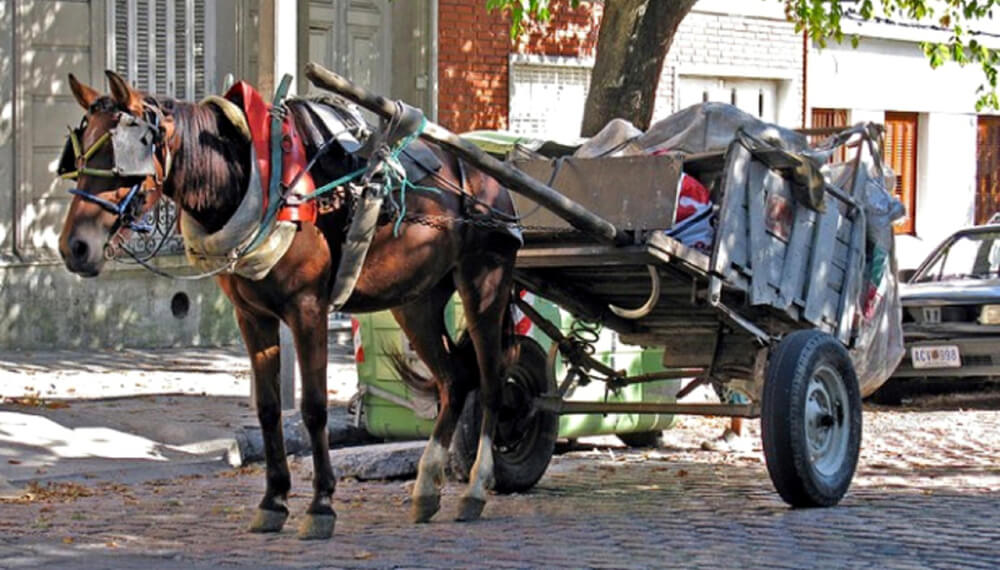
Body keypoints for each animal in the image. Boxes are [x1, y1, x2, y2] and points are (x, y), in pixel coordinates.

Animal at [57, 70, 522, 539]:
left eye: (121, 156)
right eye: (78, 155)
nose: (75, 247)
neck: (254, 181)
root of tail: (487, 177)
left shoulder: (308, 309)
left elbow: (314, 408)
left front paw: (321, 505)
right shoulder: (252, 316)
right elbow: (266, 410)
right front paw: (273, 500)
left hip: (484, 283)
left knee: (491, 382)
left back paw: (475, 490)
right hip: (417, 299)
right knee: (454, 380)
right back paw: (426, 488)